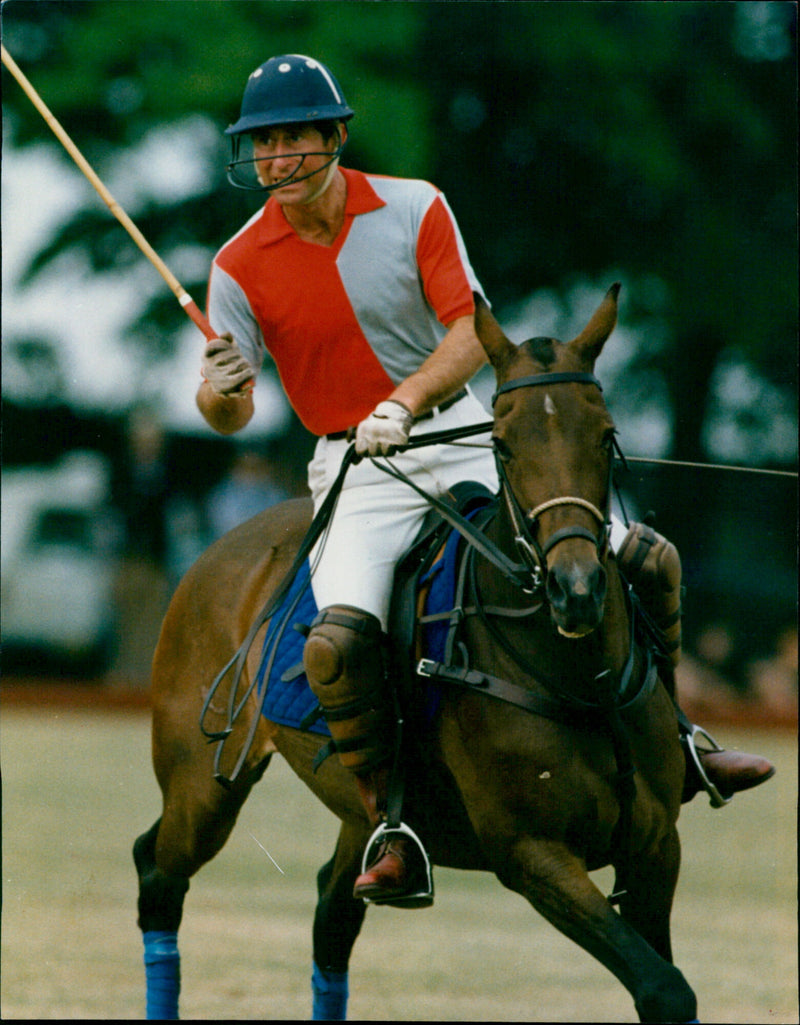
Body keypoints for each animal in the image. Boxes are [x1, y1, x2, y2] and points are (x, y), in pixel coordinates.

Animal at [134, 284, 697, 1020]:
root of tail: (222, 547)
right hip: (200, 781)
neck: (583, 679)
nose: (576, 590)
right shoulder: (532, 854)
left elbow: (663, 982)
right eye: (502, 442)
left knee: (332, 910)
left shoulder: (656, 846)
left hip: (354, 807)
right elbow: (664, 987)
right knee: (158, 869)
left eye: (606, 435)